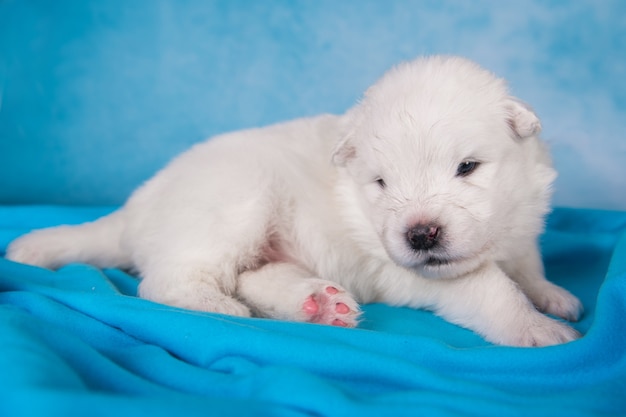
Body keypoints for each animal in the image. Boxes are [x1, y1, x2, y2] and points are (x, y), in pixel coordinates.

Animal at [6, 56, 580, 348]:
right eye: (381, 183)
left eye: (467, 168)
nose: (420, 235)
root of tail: (135, 209)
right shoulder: (405, 268)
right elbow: (490, 288)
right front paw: (537, 329)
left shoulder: (522, 226)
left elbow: (526, 265)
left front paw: (551, 295)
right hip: (236, 201)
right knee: (168, 282)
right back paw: (221, 307)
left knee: (255, 275)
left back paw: (317, 302)